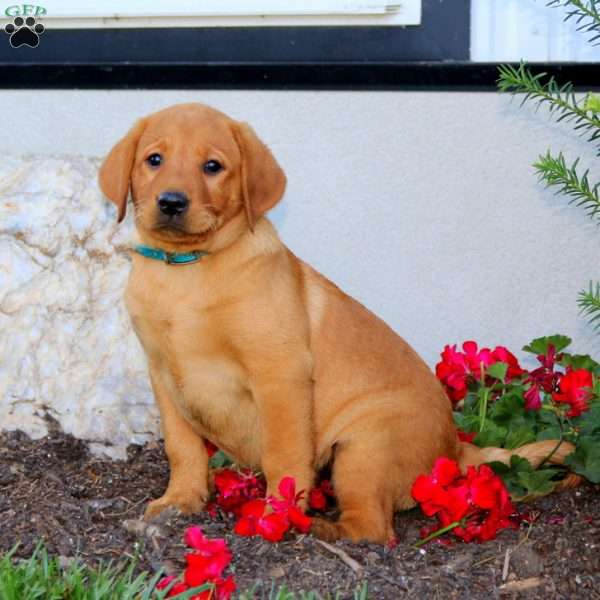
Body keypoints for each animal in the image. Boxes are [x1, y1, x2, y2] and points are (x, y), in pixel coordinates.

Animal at [98, 103, 572, 544]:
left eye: (212, 166)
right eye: (154, 159)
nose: (171, 202)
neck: (187, 271)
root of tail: (454, 448)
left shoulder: (279, 375)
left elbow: (284, 455)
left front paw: (274, 515)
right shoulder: (164, 375)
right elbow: (183, 448)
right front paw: (181, 498)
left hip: (365, 447)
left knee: (373, 527)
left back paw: (318, 527)